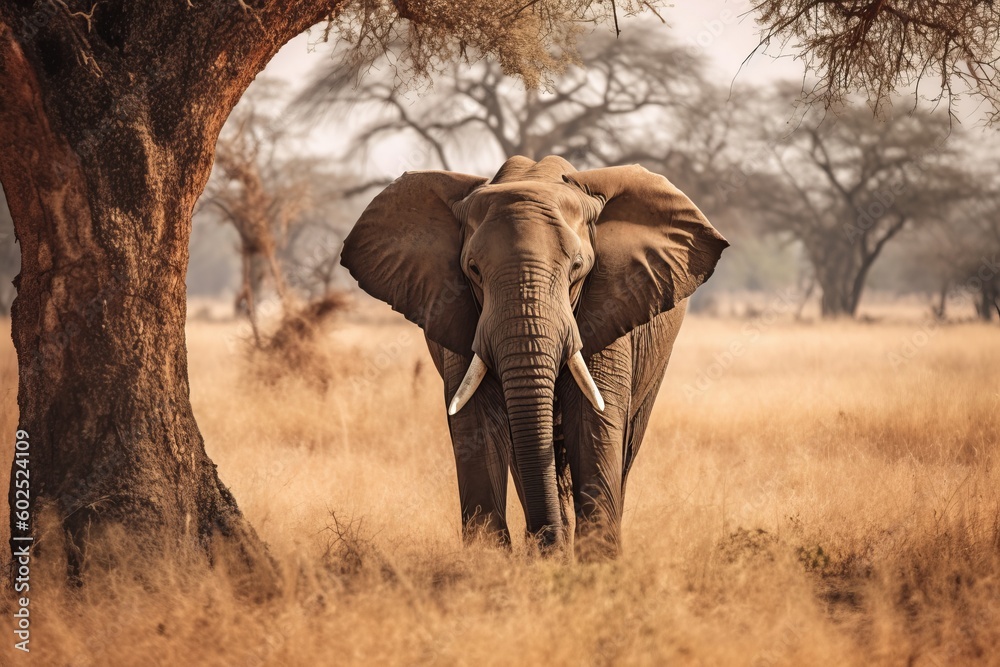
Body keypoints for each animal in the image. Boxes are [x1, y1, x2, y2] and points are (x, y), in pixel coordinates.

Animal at [340, 155, 727, 558]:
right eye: (473, 269)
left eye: (577, 267)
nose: (546, 543)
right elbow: (477, 421)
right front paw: (492, 562)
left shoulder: (610, 306)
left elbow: (593, 420)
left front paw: (598, 565)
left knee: (627, 440)